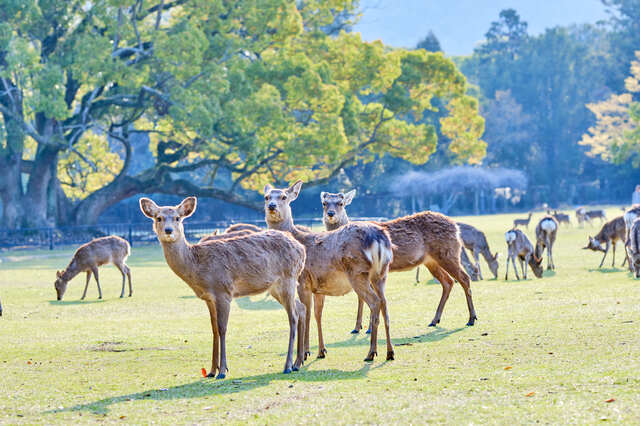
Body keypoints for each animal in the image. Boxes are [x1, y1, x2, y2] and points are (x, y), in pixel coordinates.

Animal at [141, 198, 306, 378]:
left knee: (293, 316)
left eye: (178, 218)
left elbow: (222, 328)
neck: (197, 268)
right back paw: (298, 362)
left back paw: (288, 365)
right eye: (158, 218)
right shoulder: (208, 297)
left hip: (288, 278)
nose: (168, 230)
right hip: (275, 287)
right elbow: (213, 328)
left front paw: (222, 370)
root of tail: (301, 249)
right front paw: (211, 370)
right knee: (301, 308)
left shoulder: (223, 291)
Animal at [264, 181, 396, 362]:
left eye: (284, 197)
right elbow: (317, 314)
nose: (271, 206)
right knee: (385, 304)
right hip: (381, 274)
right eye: (266, 196)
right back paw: (390, 352)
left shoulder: (303, 281)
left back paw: (371, 353)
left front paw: (305, 353)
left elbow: (307, 313)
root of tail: (380, 239)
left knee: (375, 302)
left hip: (358, 273)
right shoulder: (318, 287)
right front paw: (321, 350)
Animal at [318, 191, 476, 336]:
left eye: (341, 203)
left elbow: (370, 298)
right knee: (448, 281)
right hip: (431, 261)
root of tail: (456, 227)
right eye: (324, 203)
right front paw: (357, 328)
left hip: (448, 253)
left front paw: (368, 328)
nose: (331, 214)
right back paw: (434, 320)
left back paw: (471, 319)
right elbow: (361, 297)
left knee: (464, 278)